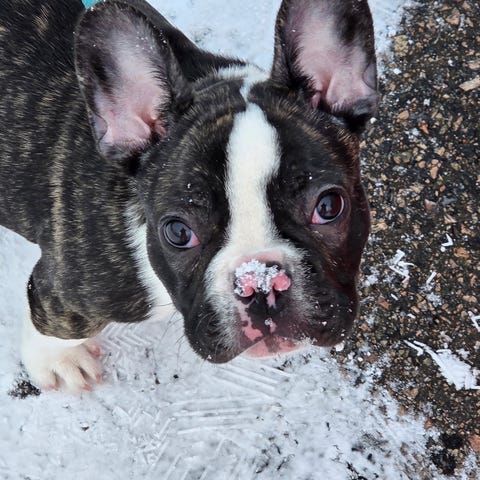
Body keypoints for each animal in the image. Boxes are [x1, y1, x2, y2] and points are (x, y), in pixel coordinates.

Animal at [0, 0, 378, 391]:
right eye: (179, 232)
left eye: (329, 206)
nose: (259, 282)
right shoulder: (63, 293)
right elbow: (56, 325)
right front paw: (57, 362)